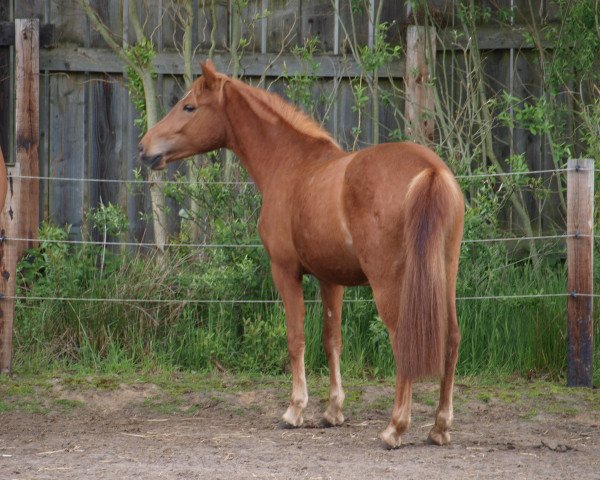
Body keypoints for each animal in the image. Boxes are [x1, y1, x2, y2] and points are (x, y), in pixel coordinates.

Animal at [139, 62, 464, 448]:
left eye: (189, 106)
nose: (144, 147)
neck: (291, 163)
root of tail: (430, 170)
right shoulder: (330, 279)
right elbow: (331, 340)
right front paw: (332, 412)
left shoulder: (285, 271)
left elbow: (296, 339)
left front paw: (294, 411)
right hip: (445, 273)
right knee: (452, 338)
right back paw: (440, 427)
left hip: (388, 282)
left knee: (403, 339)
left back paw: (394, 428)